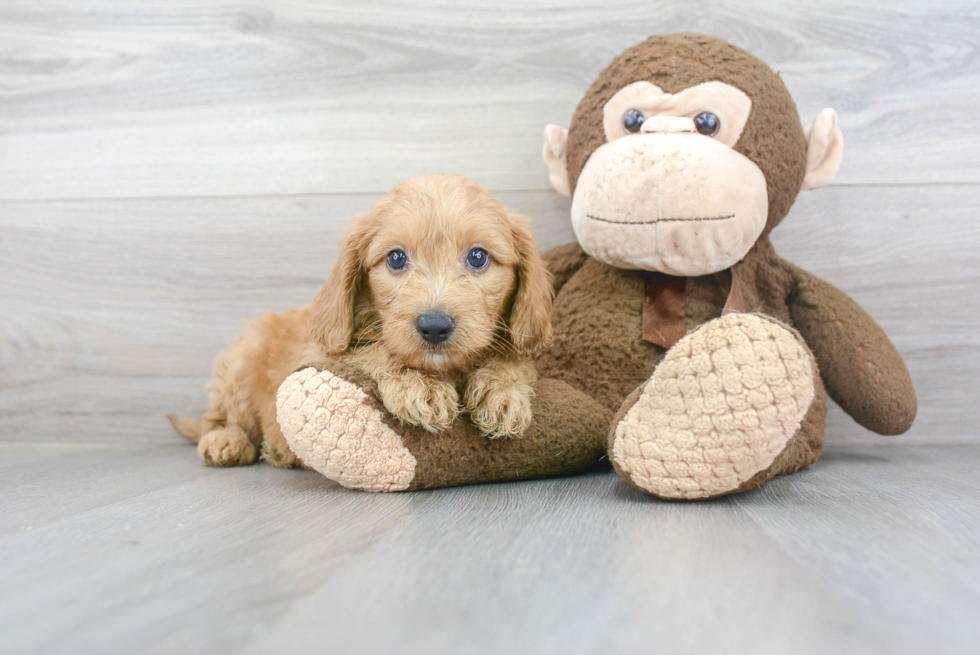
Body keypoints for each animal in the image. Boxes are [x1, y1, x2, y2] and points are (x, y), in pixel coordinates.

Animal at [172, 174, 556, 468]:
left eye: (478, 257)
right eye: (396, 258)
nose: (433, 326)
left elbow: (515, 359)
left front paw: (502, 391)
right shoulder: (319, 355)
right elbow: (371, 350)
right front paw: (418, 384)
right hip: (237, 367)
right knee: (218, 418)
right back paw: (228, 441)